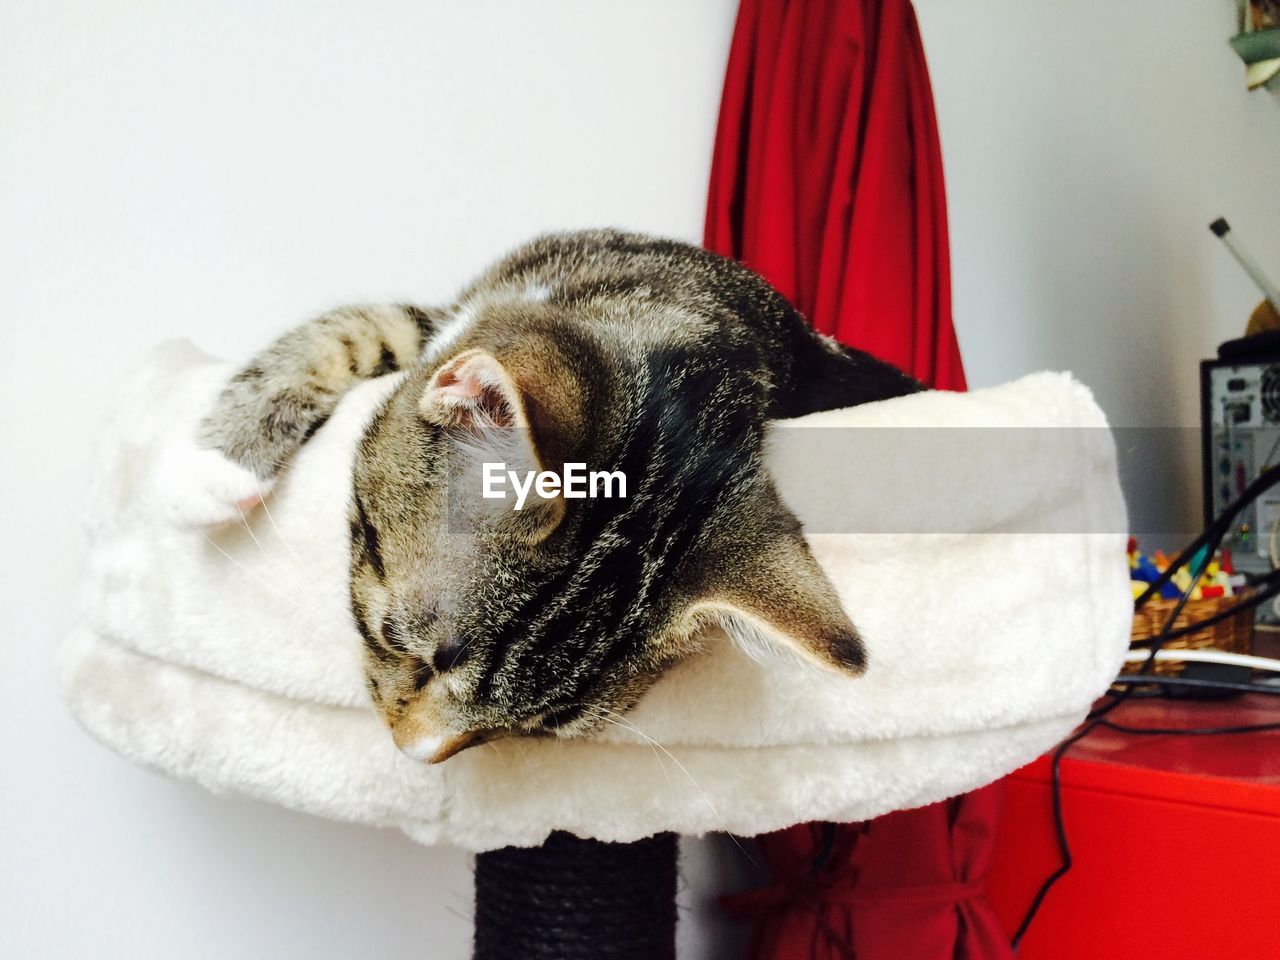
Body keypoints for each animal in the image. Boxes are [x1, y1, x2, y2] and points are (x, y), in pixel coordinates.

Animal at [172, 229, 921, 762]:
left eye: (536, 728)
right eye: (399, 642)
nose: (412, 753)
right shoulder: (450, 315)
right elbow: (358, 324)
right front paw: (218, 465)